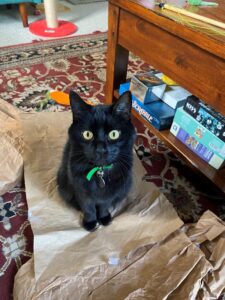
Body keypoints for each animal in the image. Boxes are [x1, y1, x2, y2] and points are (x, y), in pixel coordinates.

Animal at [57, 91, 135, 232]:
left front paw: (103, 218)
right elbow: (88, 208)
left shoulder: (109, 192)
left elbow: (104, 205)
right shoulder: (81, 190)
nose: (100, 149)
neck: (100, 171)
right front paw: (90, 222)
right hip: (63, 183)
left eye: (114, 134)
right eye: (87, 134)